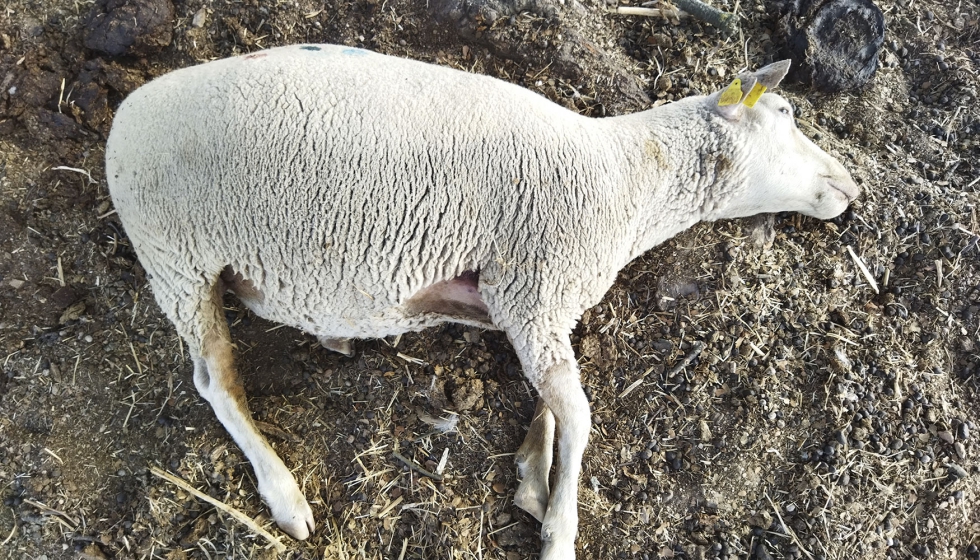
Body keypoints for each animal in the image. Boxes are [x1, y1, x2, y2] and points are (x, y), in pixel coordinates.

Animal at [105, 43, 859, 559]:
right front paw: (559, 530)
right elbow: (578, 413)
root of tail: (122, 118)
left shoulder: (533, 305)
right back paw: (285, 497)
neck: (628, 179)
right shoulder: (533, 286)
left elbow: (554, 402)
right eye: (785, 113)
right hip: (178, 260)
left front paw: (533, 470)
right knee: (216, 380)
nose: (850, 186)